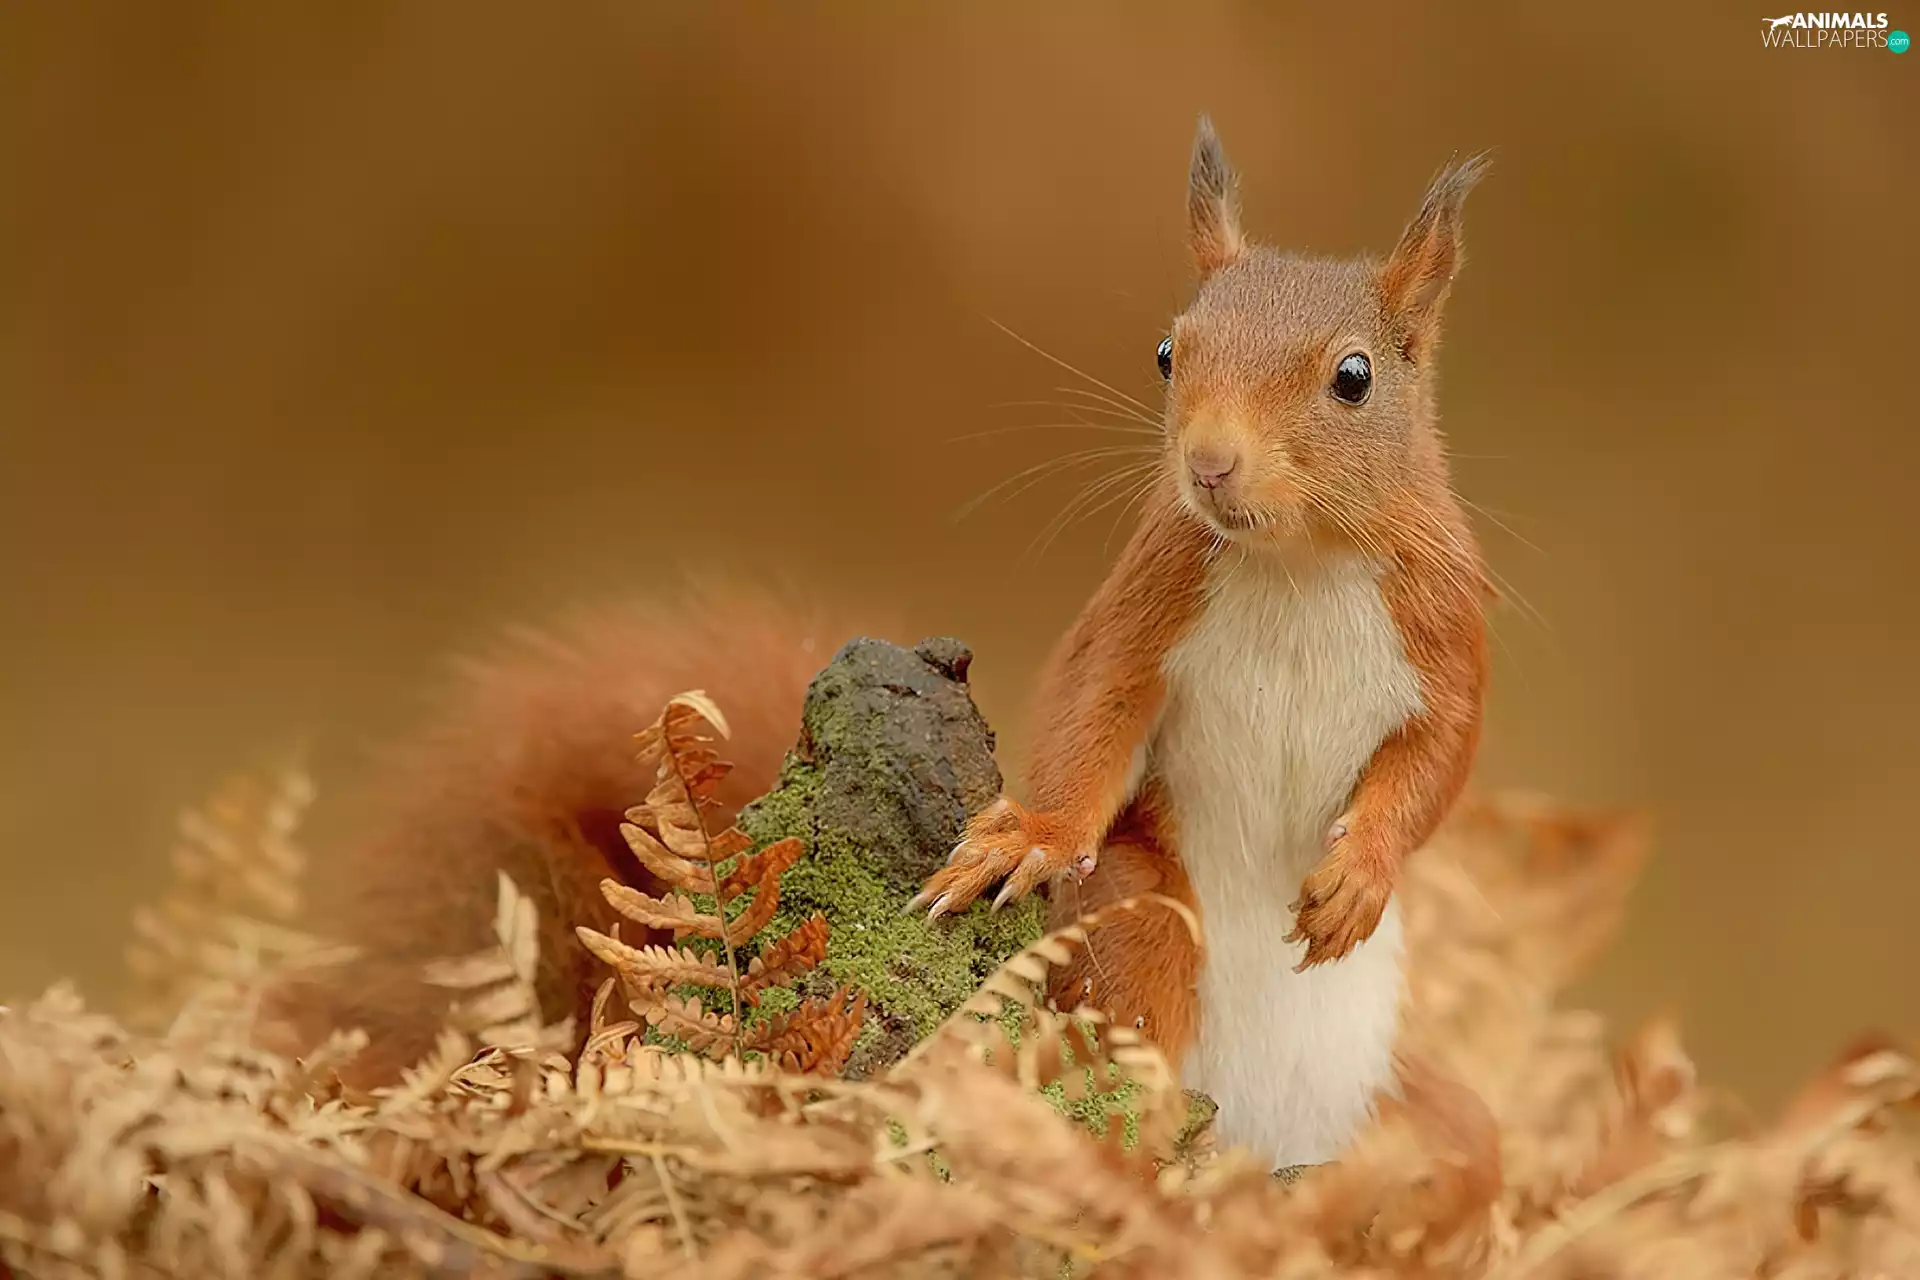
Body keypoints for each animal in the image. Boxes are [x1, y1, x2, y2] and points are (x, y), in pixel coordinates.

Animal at [906, 117, 1493, 1168]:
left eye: (1355, 377)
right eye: (1167, 352)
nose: (1210, 463)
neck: (1300, 561)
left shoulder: (1446, 632)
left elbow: (1438, 764)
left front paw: (1361, 875)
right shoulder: (1149, 597)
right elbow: (1090, 703)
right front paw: (1034, 837)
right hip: (1146, 913)